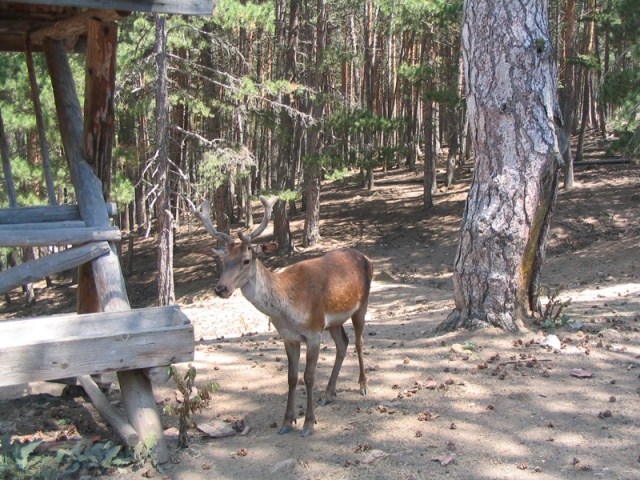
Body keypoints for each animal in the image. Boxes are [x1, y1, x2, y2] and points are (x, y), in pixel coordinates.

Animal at [196, 197, 376, 436]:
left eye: (246, 260)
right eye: (224, 261)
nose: (221, 288)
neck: (286, 309)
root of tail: (366, 258)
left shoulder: (313, 331)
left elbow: (308, 377)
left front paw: (308, 423)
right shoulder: (289, 336)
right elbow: (291, 378)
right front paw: (287, 422)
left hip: (361, 305)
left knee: (358, 341)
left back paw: (363, 385)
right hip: (333, 321)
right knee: (343, 344)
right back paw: (328, 393)